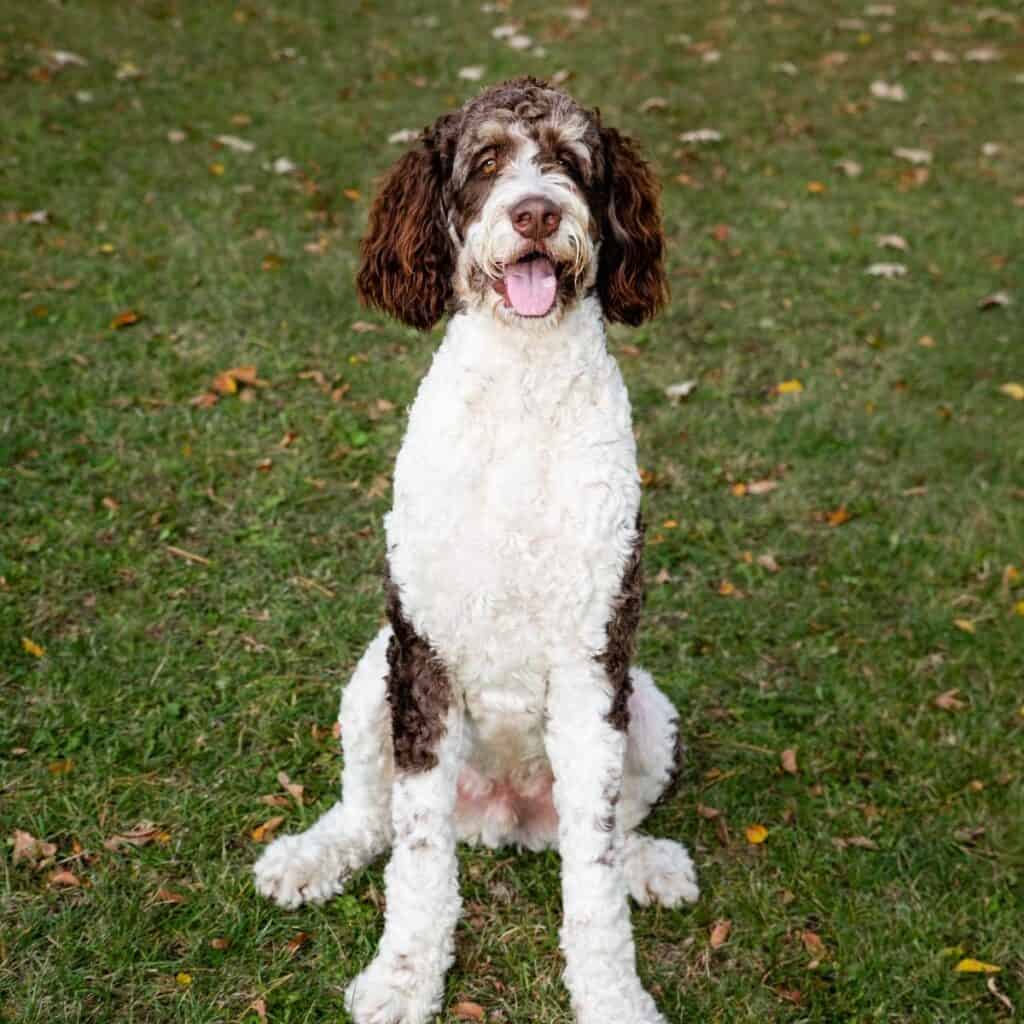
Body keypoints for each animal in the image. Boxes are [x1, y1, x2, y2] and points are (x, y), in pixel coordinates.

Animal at [256, 77, 700, 1024]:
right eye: (488, 160)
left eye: (570, 161)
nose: (535, 211)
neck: (522, 396)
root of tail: (500, 813)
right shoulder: (422, 658)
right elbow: (420, 855)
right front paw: (404, 976)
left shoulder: (591, 667)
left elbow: (593, 869)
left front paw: (612, 993)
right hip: (370, 683)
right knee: (372, 817)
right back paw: (310, 857)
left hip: (643, 706)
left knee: (613, 828)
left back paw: (649, 863)